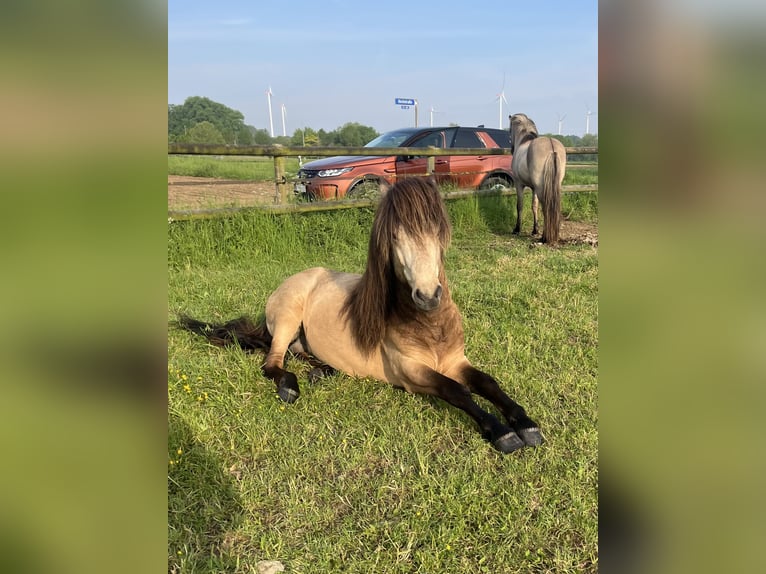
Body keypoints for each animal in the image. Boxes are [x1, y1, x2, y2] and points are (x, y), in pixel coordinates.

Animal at [177, 177, 542, 454]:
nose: (428, 296)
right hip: (286, 321)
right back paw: (290, 387)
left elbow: (487, 382)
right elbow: (457, 391)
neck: (429, 326)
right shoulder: (410, 371)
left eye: (438, 230)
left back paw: (321, 371)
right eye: (394, 236)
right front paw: (502, 432)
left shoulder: (456, 360)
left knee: (301, 353)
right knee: (272, 362)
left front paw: (526, 424)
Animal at [509, 113, 567, 244]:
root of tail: (551, 147)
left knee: (546, 207)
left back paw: (545, 237)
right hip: (553, 185)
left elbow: (519, 205)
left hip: (541, 188)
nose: (511, 149)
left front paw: (517, 229)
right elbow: (534, 206)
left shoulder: (519, 184)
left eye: (509, 129)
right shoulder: (534, 187)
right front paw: (535, 229)